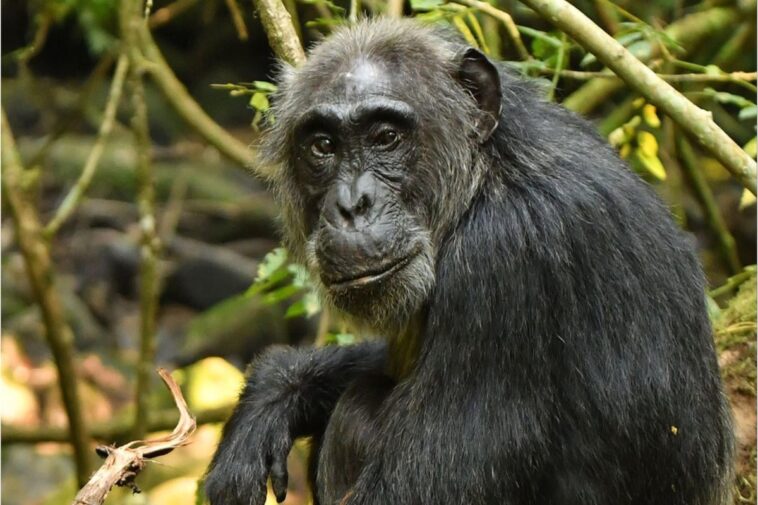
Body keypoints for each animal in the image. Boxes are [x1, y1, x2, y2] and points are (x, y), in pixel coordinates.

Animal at [205, 17, 734, 505]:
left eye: (385, 137)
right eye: (322, 146)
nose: (353, 205)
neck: (483, 180)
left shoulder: (503, 261)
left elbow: (411, 489)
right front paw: (273, 395)